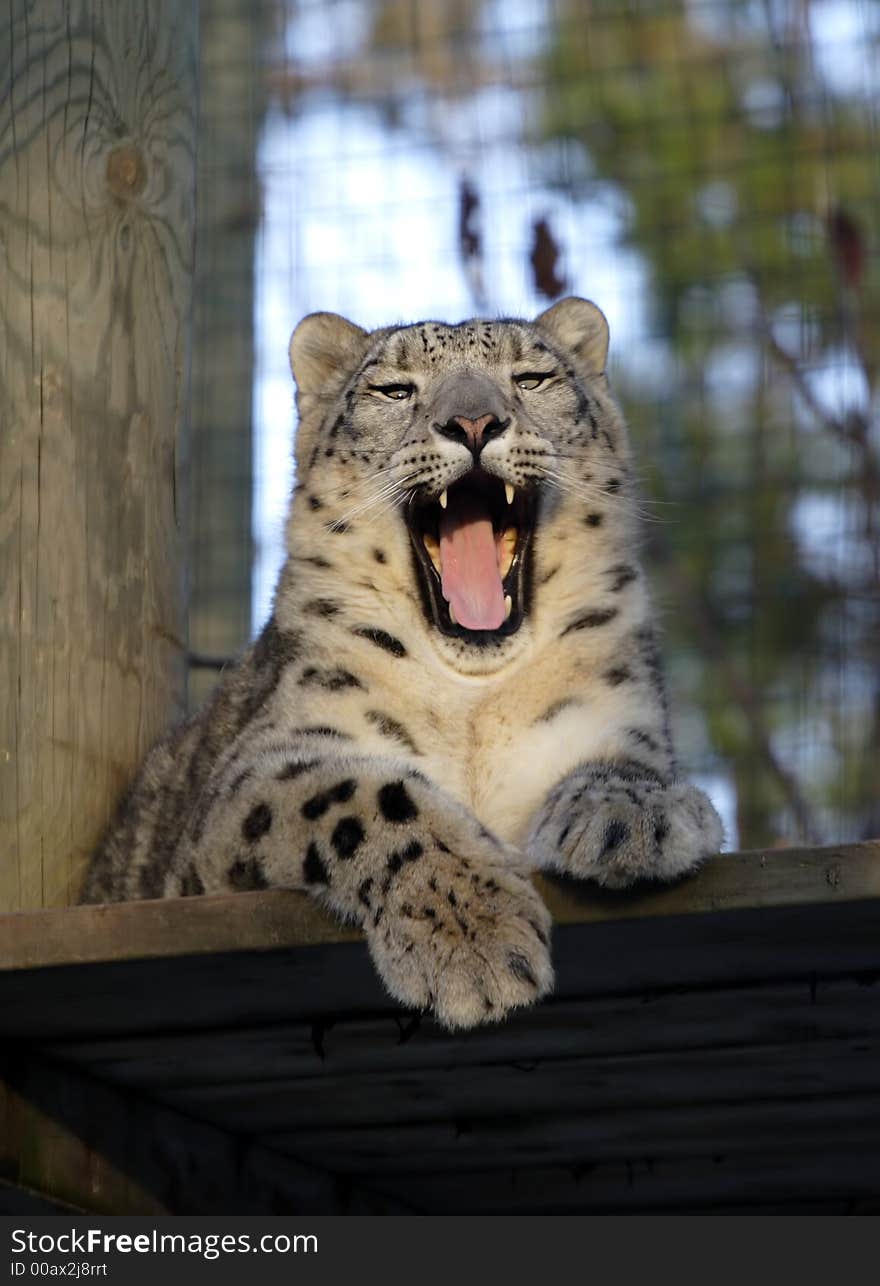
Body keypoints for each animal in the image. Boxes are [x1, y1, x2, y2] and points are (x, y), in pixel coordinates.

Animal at [82, 295, 720, 1028]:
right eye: (394, 390)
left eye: (531, 378)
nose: (473, 422)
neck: (475, 702)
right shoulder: (260, 770)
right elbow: (369, 795)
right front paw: (474, 938)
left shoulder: (614, 717)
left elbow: (626, 762)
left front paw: (633, 818)